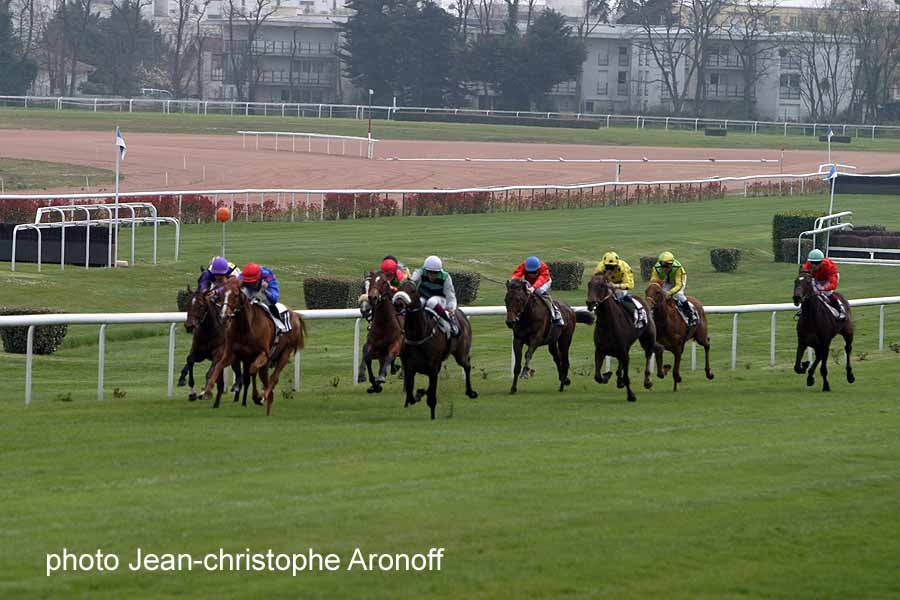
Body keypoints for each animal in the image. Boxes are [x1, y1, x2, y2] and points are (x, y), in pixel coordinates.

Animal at [202, 278, 304, 414]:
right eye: (221, 295)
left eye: (235, 295)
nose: (224, 316)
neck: (245, 327)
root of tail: (295, 314)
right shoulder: (231, 353)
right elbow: (218, 366)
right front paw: (207, 390)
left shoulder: (263, 354)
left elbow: (252, 370)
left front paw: (257, 396)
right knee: (265, 379)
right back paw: (268, 407)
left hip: (285, 353)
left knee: (273, 378)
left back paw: (263, 396)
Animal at [394, 284, 478, 420]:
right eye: (399, 287)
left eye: (412, 290)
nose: (398, 304)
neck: (419, 335)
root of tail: (459, 312)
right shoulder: (409, 368)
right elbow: (411, 396)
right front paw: (419, 393)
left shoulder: (433, 369)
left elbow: (431, 398)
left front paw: (432, 416)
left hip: (461, 354)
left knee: (467, 365)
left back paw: (470, 392)